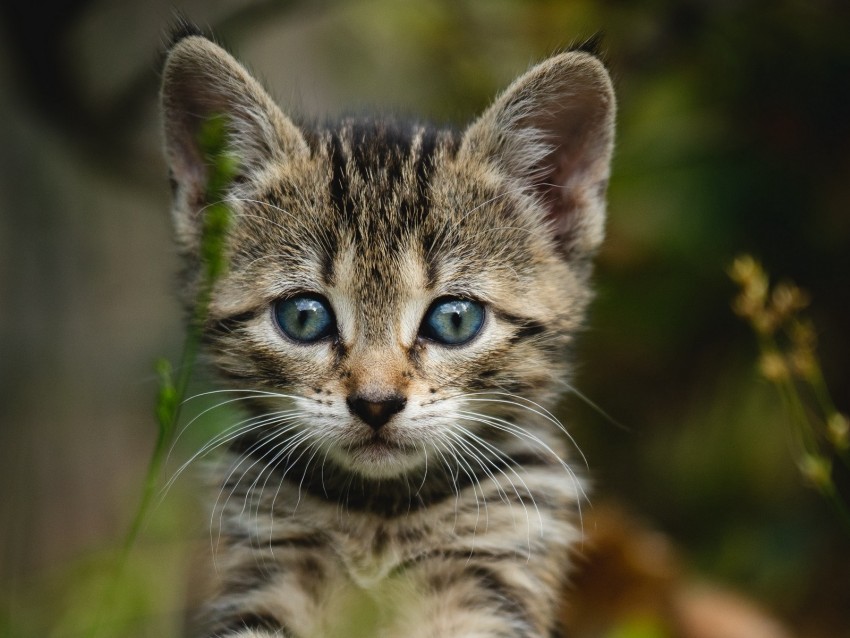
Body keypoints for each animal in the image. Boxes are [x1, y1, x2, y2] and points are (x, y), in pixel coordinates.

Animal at [162, 25, 616, 638]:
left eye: (454, 320)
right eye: (304, 317)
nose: (375, 403)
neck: (380, 512)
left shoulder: (497, 572)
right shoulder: (266, 569)